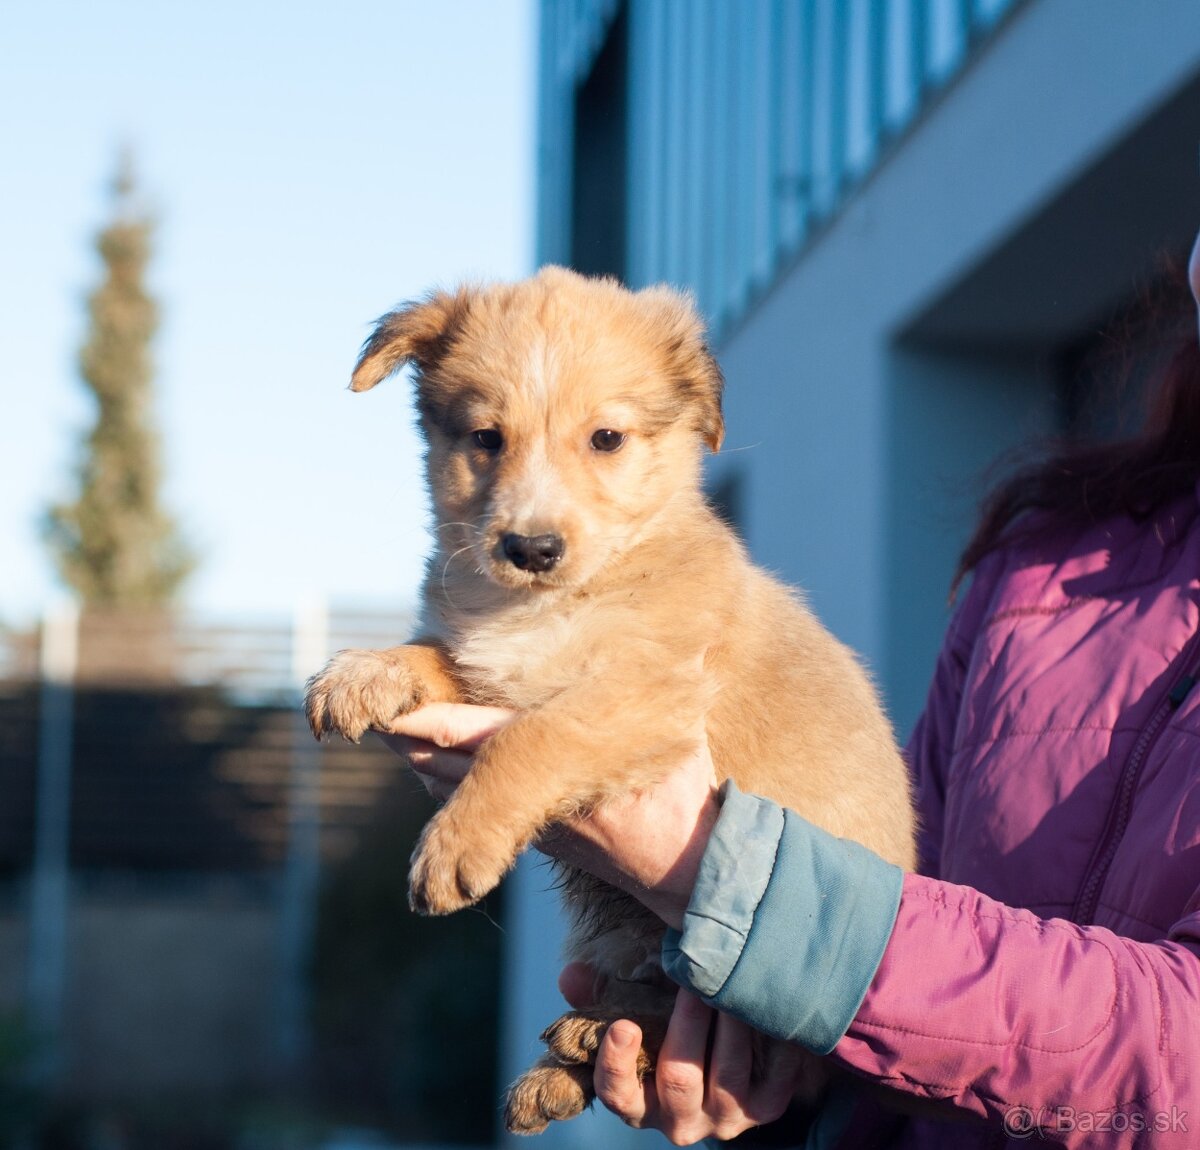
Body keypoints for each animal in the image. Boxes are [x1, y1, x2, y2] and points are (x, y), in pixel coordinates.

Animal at [304, 267, 912, 1133]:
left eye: (607, 440)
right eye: (485, 438)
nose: (531, 549)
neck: (560, 601)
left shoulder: (644, 698)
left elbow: (533, 737)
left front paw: (454, 847)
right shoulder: (495, 669)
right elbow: (442, 653)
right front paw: (367, 670)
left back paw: (600, 1039)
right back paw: (570, 1062)